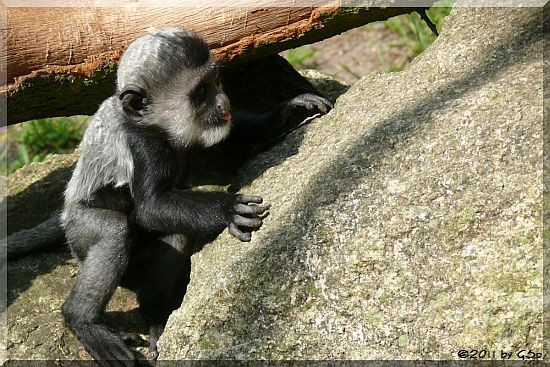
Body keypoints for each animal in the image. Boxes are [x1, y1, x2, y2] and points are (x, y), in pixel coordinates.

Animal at [8, 27, 334, 366]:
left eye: (215, 82)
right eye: (200, 92)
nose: (224, 103)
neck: (152, 123)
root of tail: (64, 213)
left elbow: (230, 134)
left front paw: (288, 112)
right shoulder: (144, 143)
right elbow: (151, 207)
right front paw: (228, 208)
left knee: (176, 232)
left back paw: (153, 316)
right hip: (79, 232)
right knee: (115, 231)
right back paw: (87, 322)